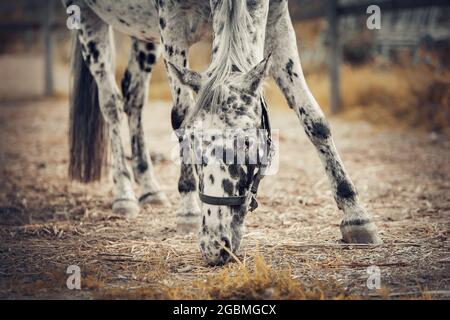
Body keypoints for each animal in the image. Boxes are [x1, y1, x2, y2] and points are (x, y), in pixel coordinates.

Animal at [62, 0, 380, 264]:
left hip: (143, 38)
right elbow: (180, 116)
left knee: (133, 95)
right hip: (87, 19)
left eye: (249, 144)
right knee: (111, 104)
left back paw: (150, 188)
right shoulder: (172, 24)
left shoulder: (277, 18)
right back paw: (124, 194)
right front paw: (188, 208)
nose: (217, 245)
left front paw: (355, 215)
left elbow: (314, 119)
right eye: (193, 142)